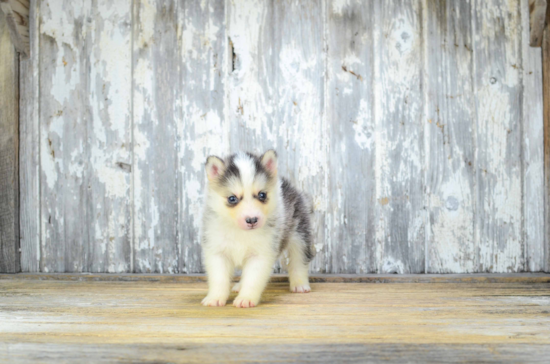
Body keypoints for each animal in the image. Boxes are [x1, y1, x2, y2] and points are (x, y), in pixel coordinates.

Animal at [202, 149, 314, 308]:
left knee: (299, 261)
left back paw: (300, 284)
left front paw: (246, 298)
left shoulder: (261, 255)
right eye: (232, 198)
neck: (240, 232)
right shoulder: (217, 251)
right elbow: (219, 278)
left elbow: (253, 279)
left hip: (300, 235)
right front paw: (215, 297)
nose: (252, 220)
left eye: (262, 194)